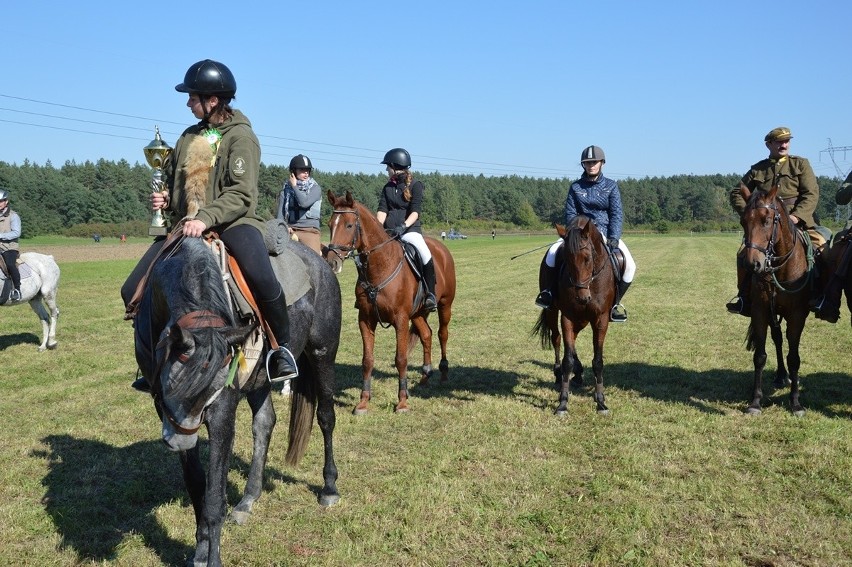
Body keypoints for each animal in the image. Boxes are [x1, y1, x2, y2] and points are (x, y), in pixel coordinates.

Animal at [324, 189, 456, 414]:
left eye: (349, 225)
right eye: (330, 223)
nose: (332, 261)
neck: (380, 266)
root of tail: (441, 248)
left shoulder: (400, 320)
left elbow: (401, 359)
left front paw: (402, 401)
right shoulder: (365, 319)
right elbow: (367, 360)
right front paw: (363, 402)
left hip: (445, 305)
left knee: (442, 334)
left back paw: (444, 372)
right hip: (418, 313)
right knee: (426, 335)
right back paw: (425, 375)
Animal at [532, 215, 612, 414]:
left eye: (588, 258)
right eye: (565, 259)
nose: (582, 298)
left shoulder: (601, 319)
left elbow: (598, 360)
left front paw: (600, 400)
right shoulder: (567, 316)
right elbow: (567, 358)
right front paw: (563, 402)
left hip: (582, 319)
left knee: (573, 341)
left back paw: (578, 373)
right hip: (553, 311)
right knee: (557, 338)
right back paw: (559, 373)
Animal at [740, 185, 812, 418]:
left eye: (767, 220)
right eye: (743, 221)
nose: (752, 264)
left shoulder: (797, 316)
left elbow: (794, 358)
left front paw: (796, 402)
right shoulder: (760, 311)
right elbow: (760, 356)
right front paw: (755, 402)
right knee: (778, 339)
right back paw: (781, 375)